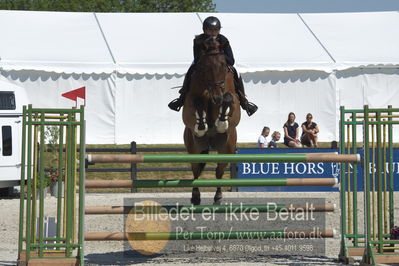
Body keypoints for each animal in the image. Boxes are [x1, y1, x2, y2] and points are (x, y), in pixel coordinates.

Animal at [182, 35, 241, 206]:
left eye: (223, 65)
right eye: (205, 67)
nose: (216, 97)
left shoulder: (234, 103)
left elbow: (229, 99)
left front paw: (221, 123)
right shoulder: (188, 106)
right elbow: (197, 102)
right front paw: (201, 126)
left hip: (226, 149)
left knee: (219, 172)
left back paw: (218, 197)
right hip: (194, 148)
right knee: (195, 171)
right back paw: (196, 197)